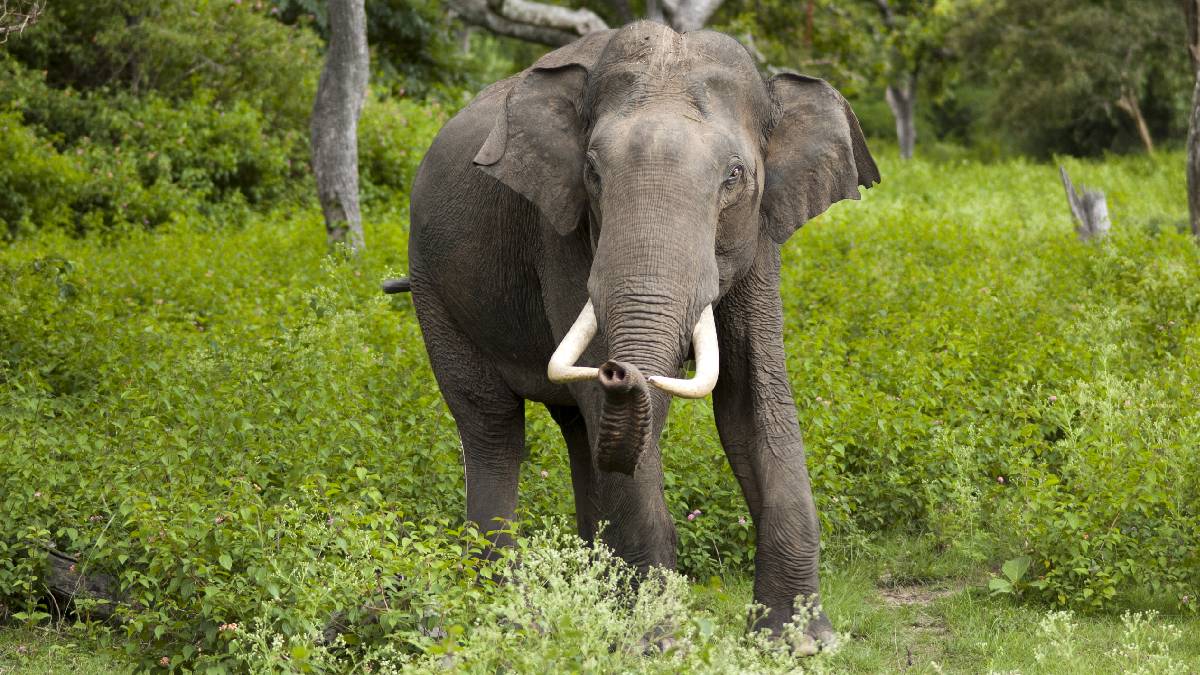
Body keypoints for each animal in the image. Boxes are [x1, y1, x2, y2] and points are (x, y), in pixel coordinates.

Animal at [398, 19, 878, 638]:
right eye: (593, 172)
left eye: (734, 176)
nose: (619, 370)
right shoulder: (562, 229)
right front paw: (655, 642)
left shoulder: (762, 232)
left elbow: (751, 400)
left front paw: (798, 643)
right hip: (432, 286)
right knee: (493, 427)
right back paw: (506, 614)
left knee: (577, 430)